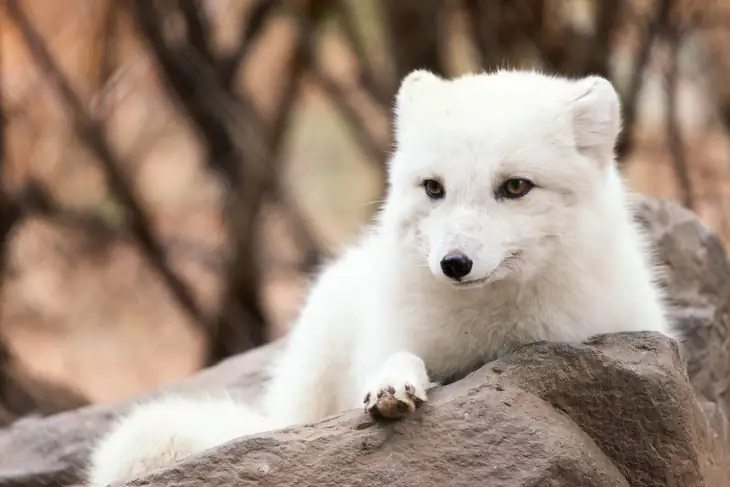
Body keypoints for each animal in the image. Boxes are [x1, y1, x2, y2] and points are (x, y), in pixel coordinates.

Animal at [85, 69, 672, 487]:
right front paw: (393, 385)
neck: (492, 334)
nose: (453, 263)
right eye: (433, 188)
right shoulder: (396, 338)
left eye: (515, 187)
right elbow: (397, 359)